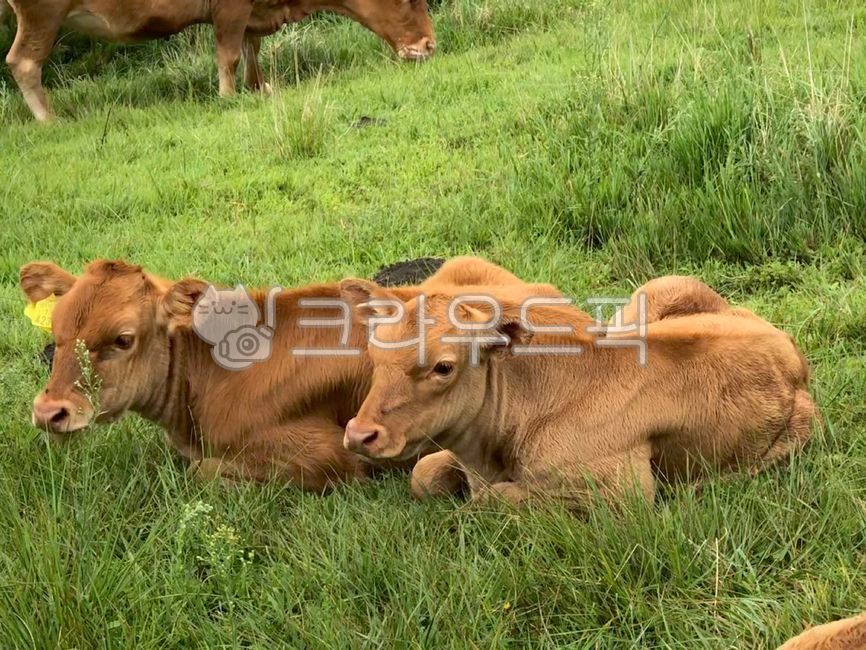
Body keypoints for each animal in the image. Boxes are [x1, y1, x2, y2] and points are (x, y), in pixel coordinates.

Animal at [4, 0, 436, 122]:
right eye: (409, 0)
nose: (430, 45)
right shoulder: (230, 9)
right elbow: (228, 54)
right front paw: (228, 96)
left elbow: (251, 48)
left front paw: (259, 86)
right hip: (43, 15)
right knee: (23, 62)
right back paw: (48, 119)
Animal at [339, 276, 817, 509]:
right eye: (375, 353)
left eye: (443, 367)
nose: (361, 434)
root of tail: (786, 346)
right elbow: (423, 475)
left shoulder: (624, 491)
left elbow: (492, 501)